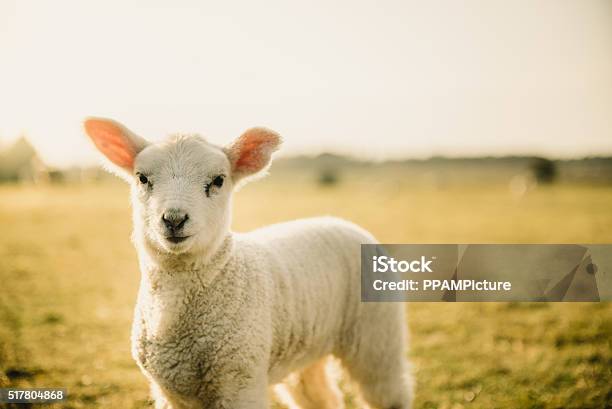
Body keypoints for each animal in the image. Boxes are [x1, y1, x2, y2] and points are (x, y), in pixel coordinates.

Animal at [83, 118, 414, 408]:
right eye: (142, 178)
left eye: (218, 180)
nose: (174, 219)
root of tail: (340, 221)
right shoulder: (168, 390)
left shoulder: (239, 380)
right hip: (308, 352)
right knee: (322, 398)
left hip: (377, 338)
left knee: (389, 392)